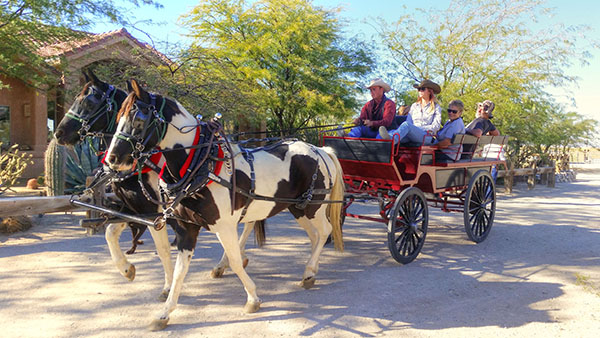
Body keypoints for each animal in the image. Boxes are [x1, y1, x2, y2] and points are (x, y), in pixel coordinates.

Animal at [105, 80, 344, 330]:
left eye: (138, 119)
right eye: (118, 117)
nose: (112, 159)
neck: (200, 164)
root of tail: (320, 150)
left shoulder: (224, 226)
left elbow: (236, 261)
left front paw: (252, 299)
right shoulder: (186, 227)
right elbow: (180, 270)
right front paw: (164, 313)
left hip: (313, 206)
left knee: (325, 231)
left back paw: (308, 272)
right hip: (297, 208)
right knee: (315, 236)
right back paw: (311, 270)